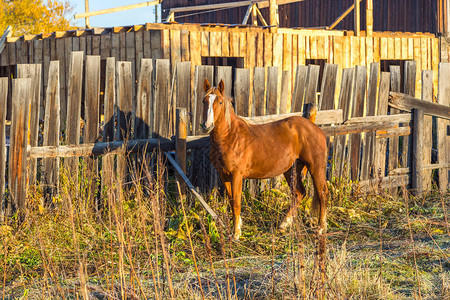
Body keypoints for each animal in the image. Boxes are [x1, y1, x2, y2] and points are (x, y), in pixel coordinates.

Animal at [202, 78, 328, 240]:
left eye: (219, 102)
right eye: (204, 100)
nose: (206, 126)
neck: (230, 137)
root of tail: (315, 128)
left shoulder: (237, 175)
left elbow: (236, 203)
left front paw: (236, 234)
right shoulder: (224, 175)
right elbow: (231, 201)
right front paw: (236, 229)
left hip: (316, 167)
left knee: (322, 193)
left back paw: (320, 228)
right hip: (291, 170)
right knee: (299, 193)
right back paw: (283, 225)